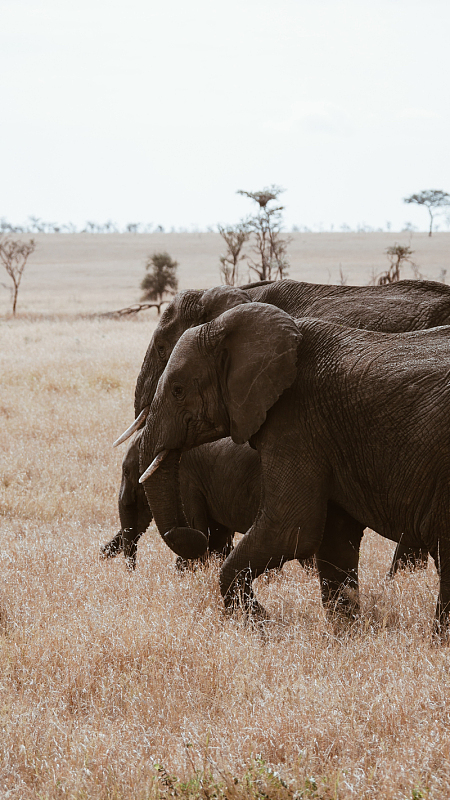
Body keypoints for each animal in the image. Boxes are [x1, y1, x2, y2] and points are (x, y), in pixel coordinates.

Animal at [138, 302, 450, 638]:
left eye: (178, 390)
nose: (193, 534)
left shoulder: (296, 420)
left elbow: (291, 529)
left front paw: (260, 624)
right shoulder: (324, 436)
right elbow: (334, 537)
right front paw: (344, 636)